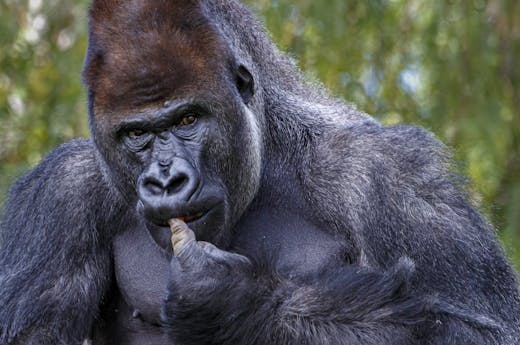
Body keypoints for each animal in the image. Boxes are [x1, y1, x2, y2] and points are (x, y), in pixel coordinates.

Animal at [1, 0, 520, 342]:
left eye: (188, 120)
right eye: (136, 134)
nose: (166, 181)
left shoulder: (389, 176)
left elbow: (475, 329)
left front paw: (231, 303)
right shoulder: (59, 194)